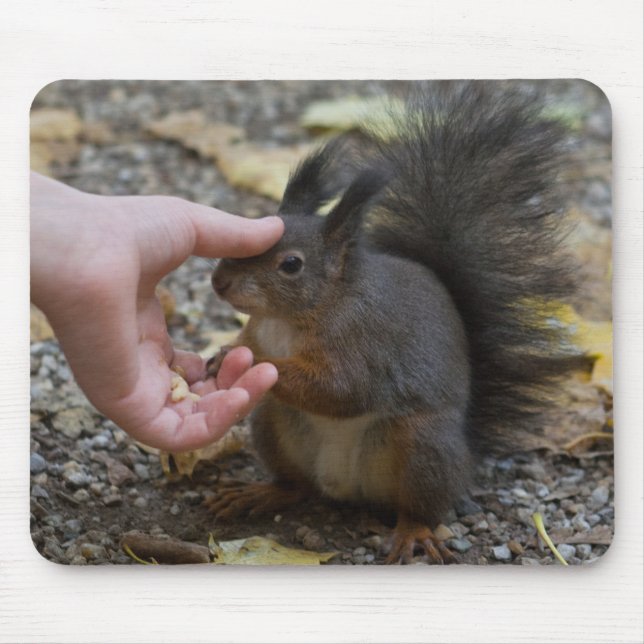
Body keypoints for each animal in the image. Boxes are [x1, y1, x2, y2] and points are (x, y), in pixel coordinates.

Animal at [204, 82, 581, 564]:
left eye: (291, 265)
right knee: (297, 486)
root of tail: (345, 488)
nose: (220, 282)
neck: (288, 318)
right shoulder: (258, 328)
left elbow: (342, 389)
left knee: (420, 506)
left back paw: (413, 533)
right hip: (274, 423)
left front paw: (249, 362)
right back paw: (261, 493)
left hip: (422, 446)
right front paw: (223, 353)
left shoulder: (364, 342)